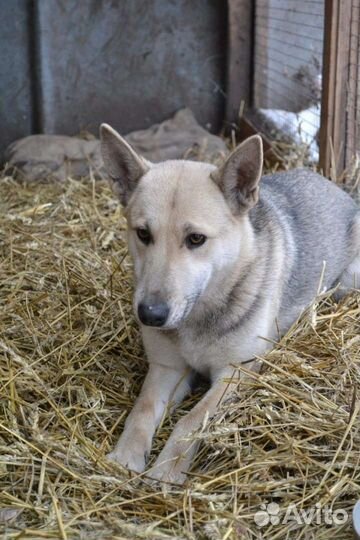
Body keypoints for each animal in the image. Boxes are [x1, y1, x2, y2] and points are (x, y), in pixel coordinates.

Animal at [99, 123, 360, 486]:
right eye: (143, 234)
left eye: (196, 239)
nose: (150, 315)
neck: (199, 315)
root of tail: (336, 186)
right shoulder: (167, 368)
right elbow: (143, 410)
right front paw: (126, 456)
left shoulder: (236, 372)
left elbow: (192, 420)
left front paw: (166, 470)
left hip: (347, 281)